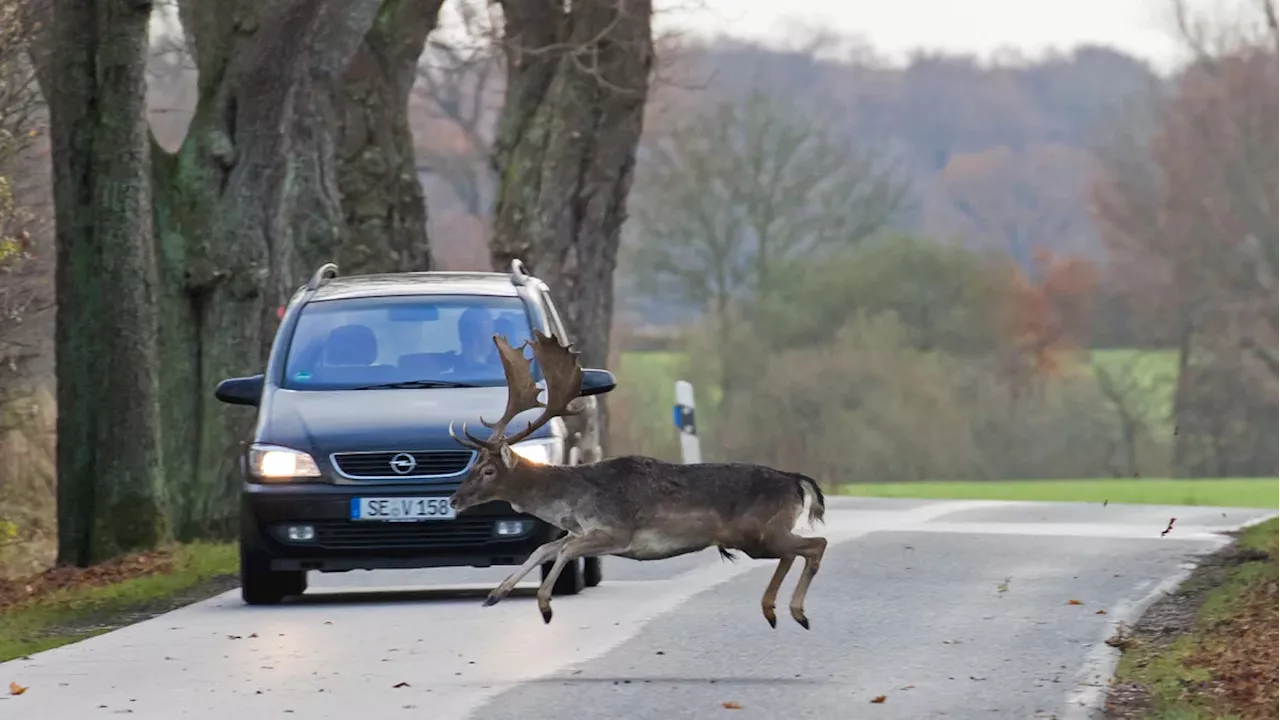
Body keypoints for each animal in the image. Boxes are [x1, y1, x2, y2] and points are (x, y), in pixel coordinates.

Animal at [450, 327, 829, 625]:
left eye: (488, 470)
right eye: (475, 464)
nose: (454, 498)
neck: (571, 500)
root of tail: (796, 481)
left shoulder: (618, 531)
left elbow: (565, 549)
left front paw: (544, 605)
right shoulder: (583, 530)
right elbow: (545, 548)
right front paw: (495, 594)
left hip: (758, 531)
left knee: (815, 544)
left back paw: (794, 611)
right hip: (759, 537)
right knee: (797, 551)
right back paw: (774, 610)